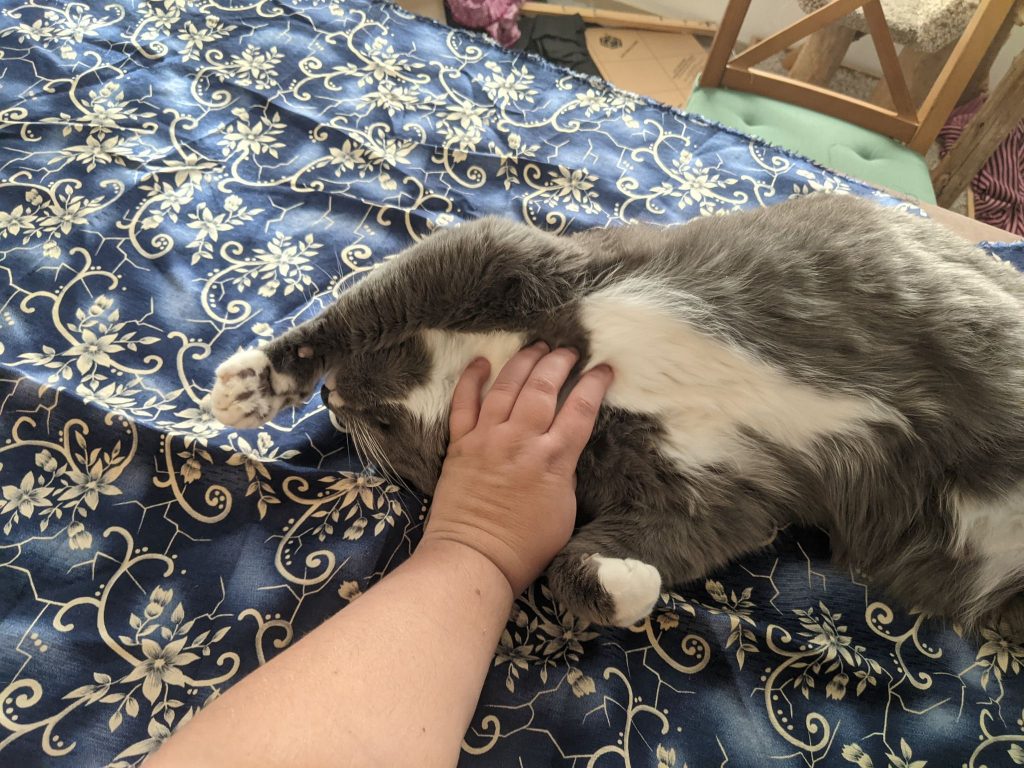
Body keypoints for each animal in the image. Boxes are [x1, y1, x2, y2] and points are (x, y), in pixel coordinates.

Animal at [210, 193, 1024, 636]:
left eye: (379, 431)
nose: (330, 400)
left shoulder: (503, 258)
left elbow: (364, 305)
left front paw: (256, 382)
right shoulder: (715, 492)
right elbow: (576, 565)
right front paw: (635, 586)